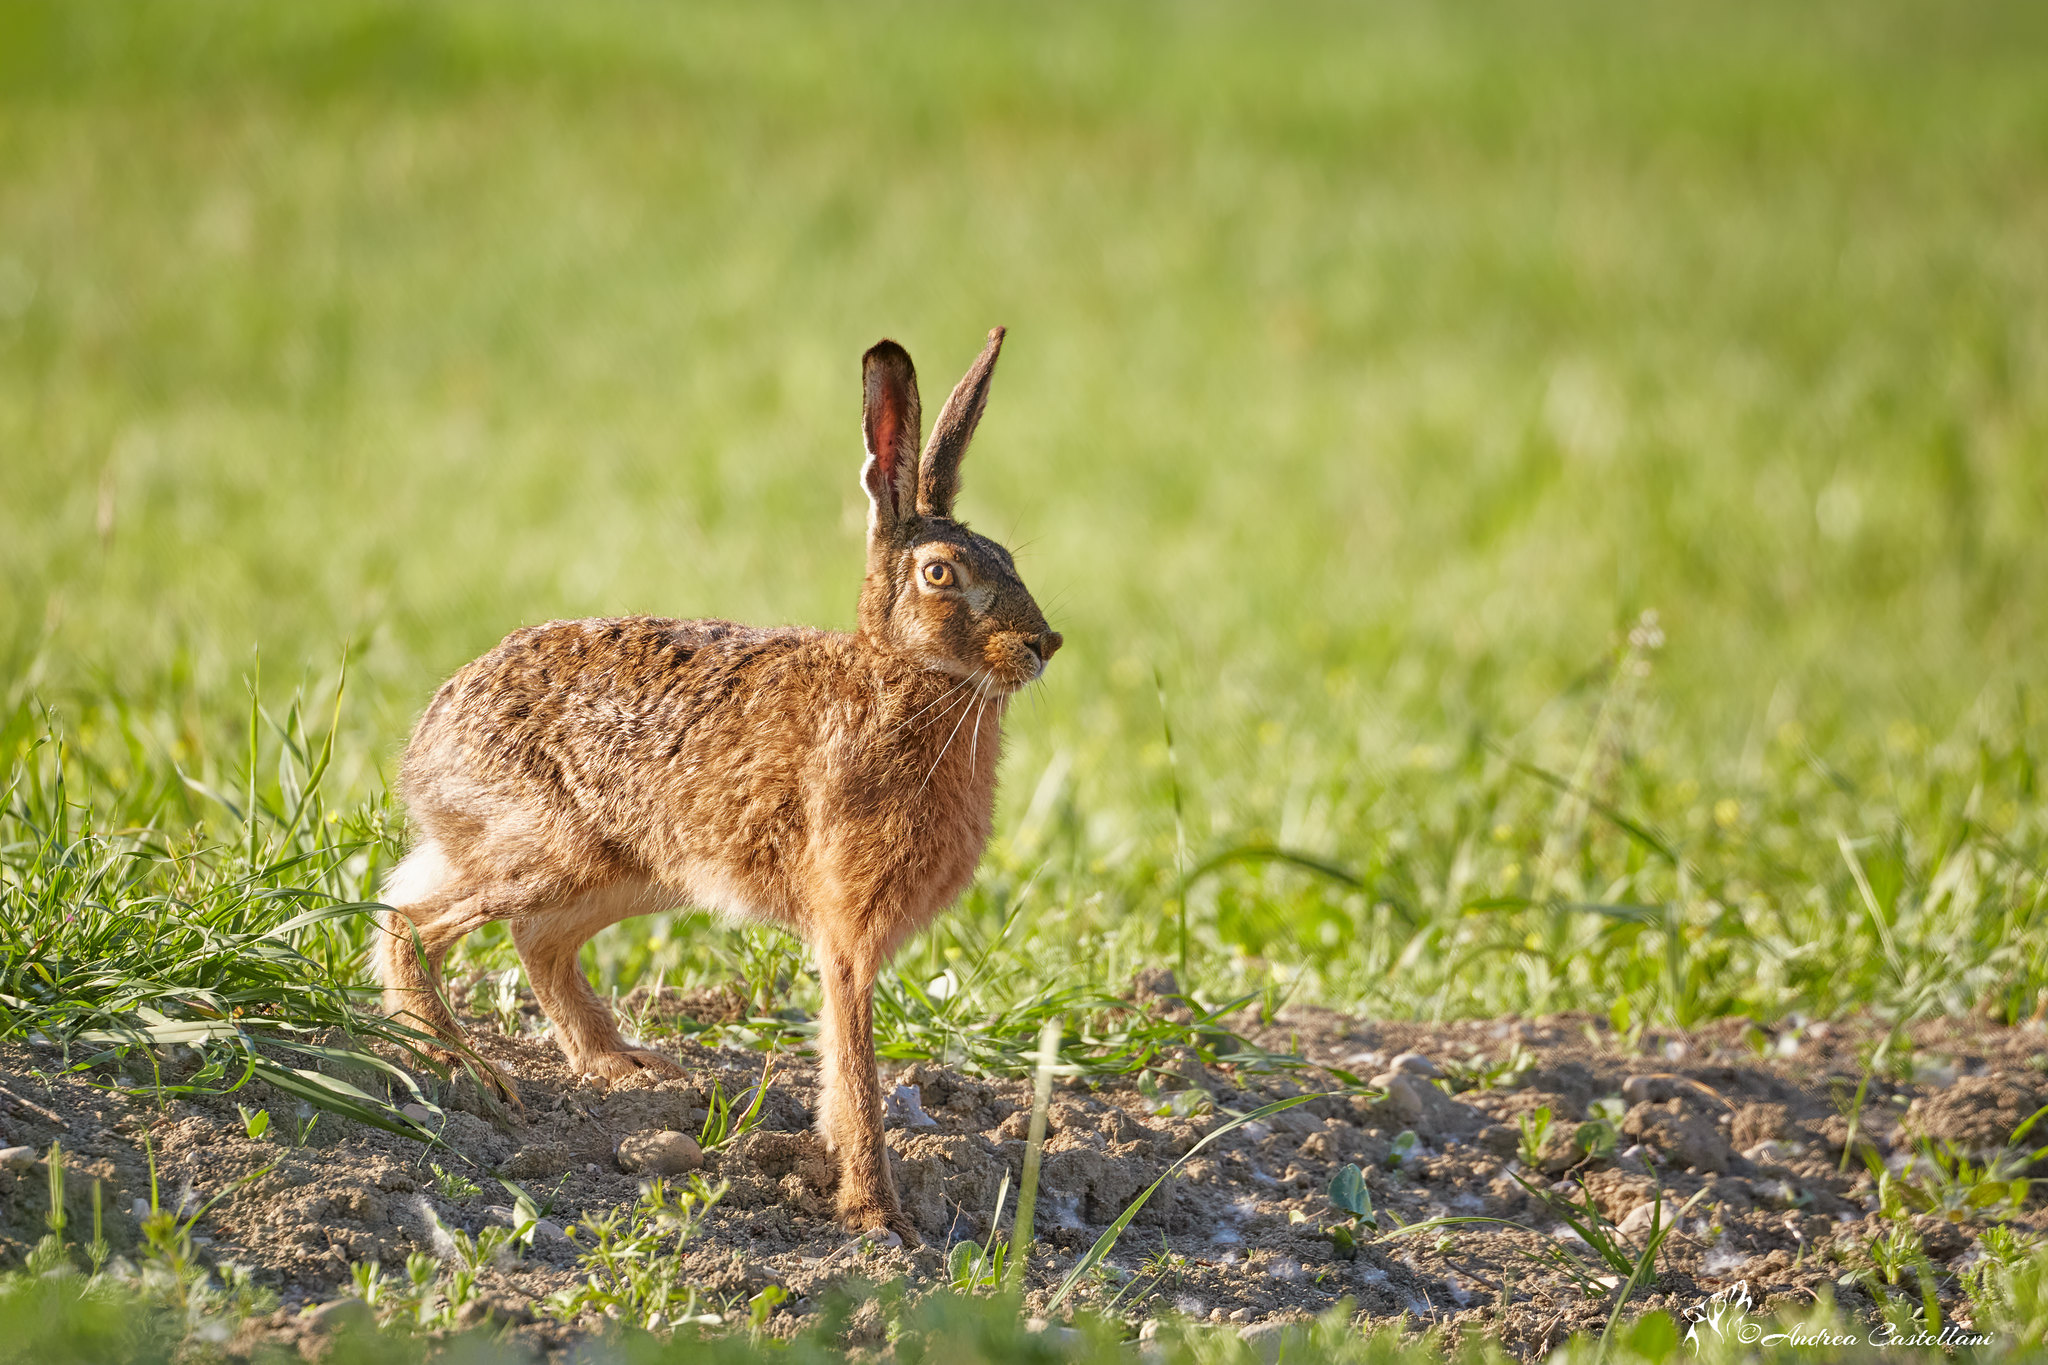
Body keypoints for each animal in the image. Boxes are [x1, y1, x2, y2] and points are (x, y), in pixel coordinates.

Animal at [374, 328, 1058, 1242]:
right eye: (942, 573)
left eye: (1009, 558)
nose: (1046, 642)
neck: (901, 676)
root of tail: (427, 745)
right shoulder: (846, 934)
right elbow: (856, 1071)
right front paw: (878, 1217)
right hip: (551, 849)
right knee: (412, 922)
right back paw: (467, 1065)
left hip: (629, 868)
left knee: (528, 937)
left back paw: (627, 1066)